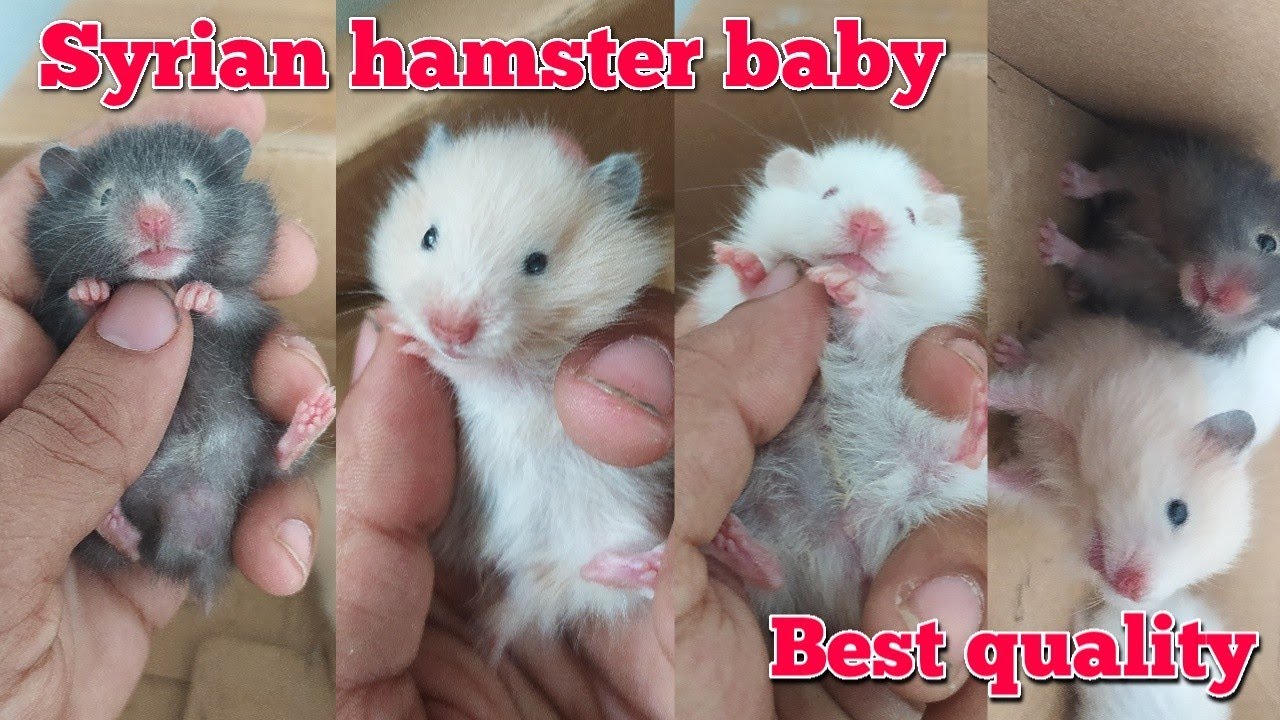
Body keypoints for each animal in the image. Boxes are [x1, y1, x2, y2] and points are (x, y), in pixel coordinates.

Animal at [27, 122, 333, 604]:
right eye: (105, 195)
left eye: (191, 185)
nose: (153, 218)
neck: (166, 279)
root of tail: (189, 547)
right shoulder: (51, 316)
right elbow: (70, 309)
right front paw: (92, 291)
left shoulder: (249, 310)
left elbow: (228, 302)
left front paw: (196, 296)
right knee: (132, 551)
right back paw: (112, 523)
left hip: (251, 451)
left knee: (278, 462)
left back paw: (314, 413)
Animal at [368, 123, 671, 649]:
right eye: (429, 236)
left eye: (536, 263)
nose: (449, 329)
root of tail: (535, 579)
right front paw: (396, 325)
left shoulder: (521, 386)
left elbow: (485, 372)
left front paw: (412, 341)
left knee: (607, 577)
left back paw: (659, 564)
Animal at [689, 139, 985, 628]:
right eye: (829, 192)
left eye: (910, 216)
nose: (868, 221)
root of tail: (842, 548)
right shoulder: (727, 303)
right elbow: (752, 287)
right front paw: (737, 259)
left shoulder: (905, 322)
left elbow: (876, 313)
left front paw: (841, 281)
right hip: (765, 518)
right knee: (771, 574)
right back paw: (734, 545)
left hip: (933, 479)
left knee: (953, 456)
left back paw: (977, 418)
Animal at [989, 316, 1256, 607]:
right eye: (1178, 512)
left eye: (1194, 575)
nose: (1129, 590)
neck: (1083, 484)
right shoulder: (1062, 391)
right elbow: (1012, 392)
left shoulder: (1042, 486)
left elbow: (1006, 483)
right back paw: (1005, 349)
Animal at [1039, 135, 1280, 355]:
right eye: (1268, 242)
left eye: (1273, 319)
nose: (1224, 302)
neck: (1179, 254)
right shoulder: (1168, 168)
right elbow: (1117, 177)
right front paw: (1069, 179)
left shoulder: (1134, 280)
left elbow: (1097, 265)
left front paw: (1047, 242)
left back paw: (1075, 287)